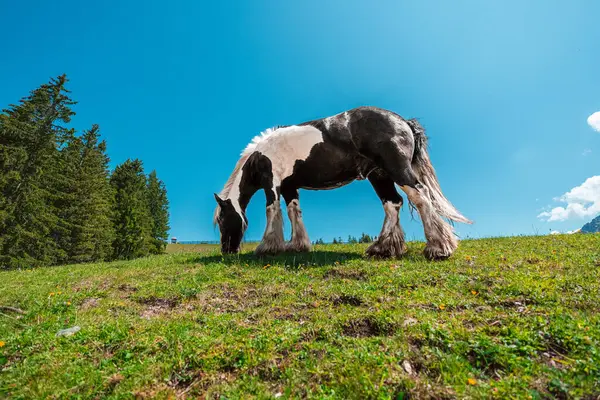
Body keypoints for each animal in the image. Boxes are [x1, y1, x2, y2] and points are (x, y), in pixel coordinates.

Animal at [213, 105, 472, 260]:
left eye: (223, 220)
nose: (227, 250)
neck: (260, 156)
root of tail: (403, 122)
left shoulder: (272, 185)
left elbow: (272, 211)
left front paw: (267, 247)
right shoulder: (289, 187)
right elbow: (294, 212)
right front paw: (298, 245)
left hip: (398, 171)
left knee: (420, 196)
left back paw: (438, 248)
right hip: (379, 175)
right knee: (393, 204)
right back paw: (382, 248)